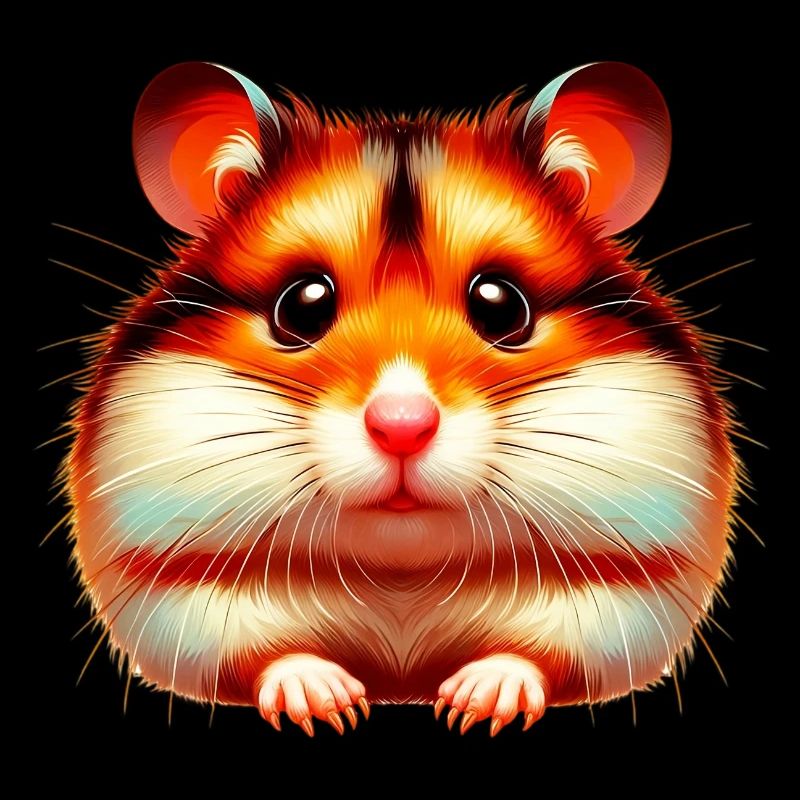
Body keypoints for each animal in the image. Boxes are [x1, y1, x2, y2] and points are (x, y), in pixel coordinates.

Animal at [65, 61, 737, 737]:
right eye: (301, 305)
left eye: (503, 305)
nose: (402, 428)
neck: (401, 579)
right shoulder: (169, 592)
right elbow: (265, 655)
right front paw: (330, 705)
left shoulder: (634, 593)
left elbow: (539, 656)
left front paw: (472, 705)